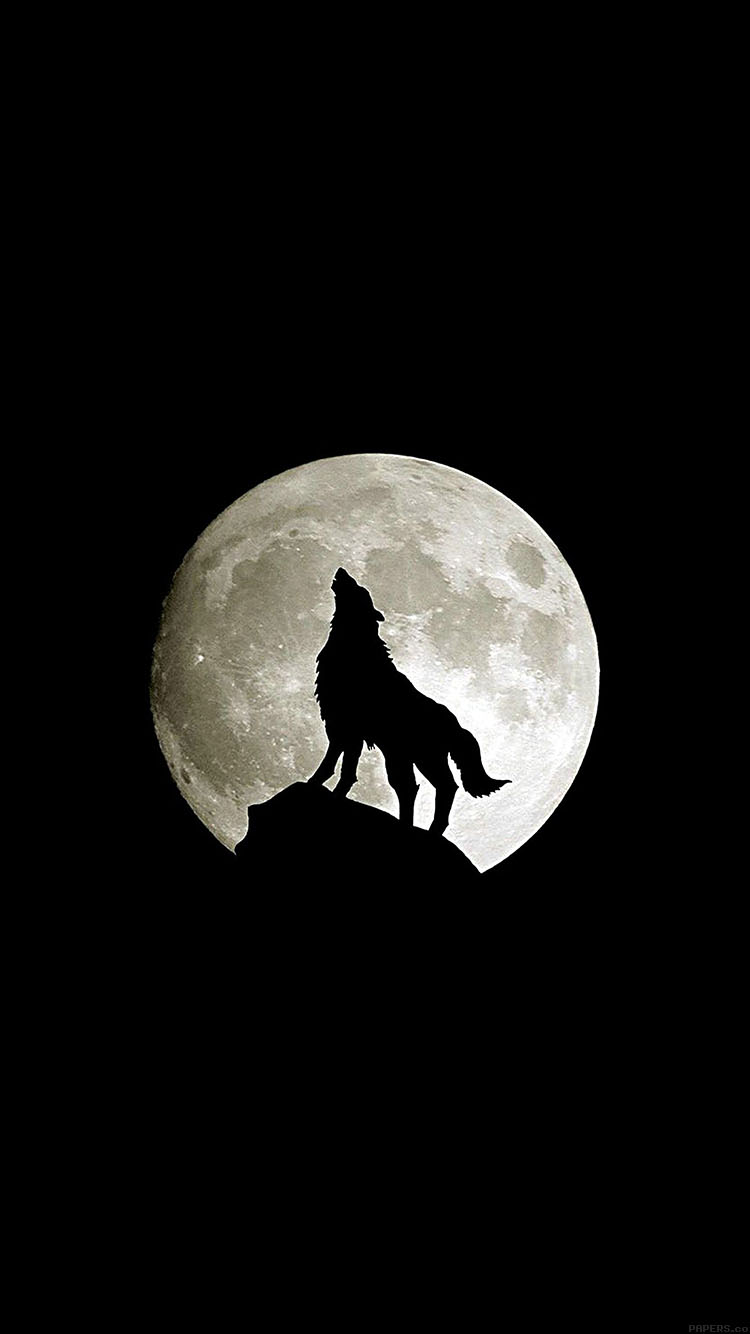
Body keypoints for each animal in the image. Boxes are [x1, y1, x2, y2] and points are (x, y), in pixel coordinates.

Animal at [309, 568, 511, 835]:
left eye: (360, 590)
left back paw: (429, 830)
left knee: (442, 787)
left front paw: (315, 785)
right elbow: (345, 769)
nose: (342, 571)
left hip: (421, 758)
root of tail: (456, 724)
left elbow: (333, 765)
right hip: (401, 757)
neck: (355, 647)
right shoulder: (347, 731)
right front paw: (332, 792)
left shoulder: (345, 726)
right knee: (411, 788)